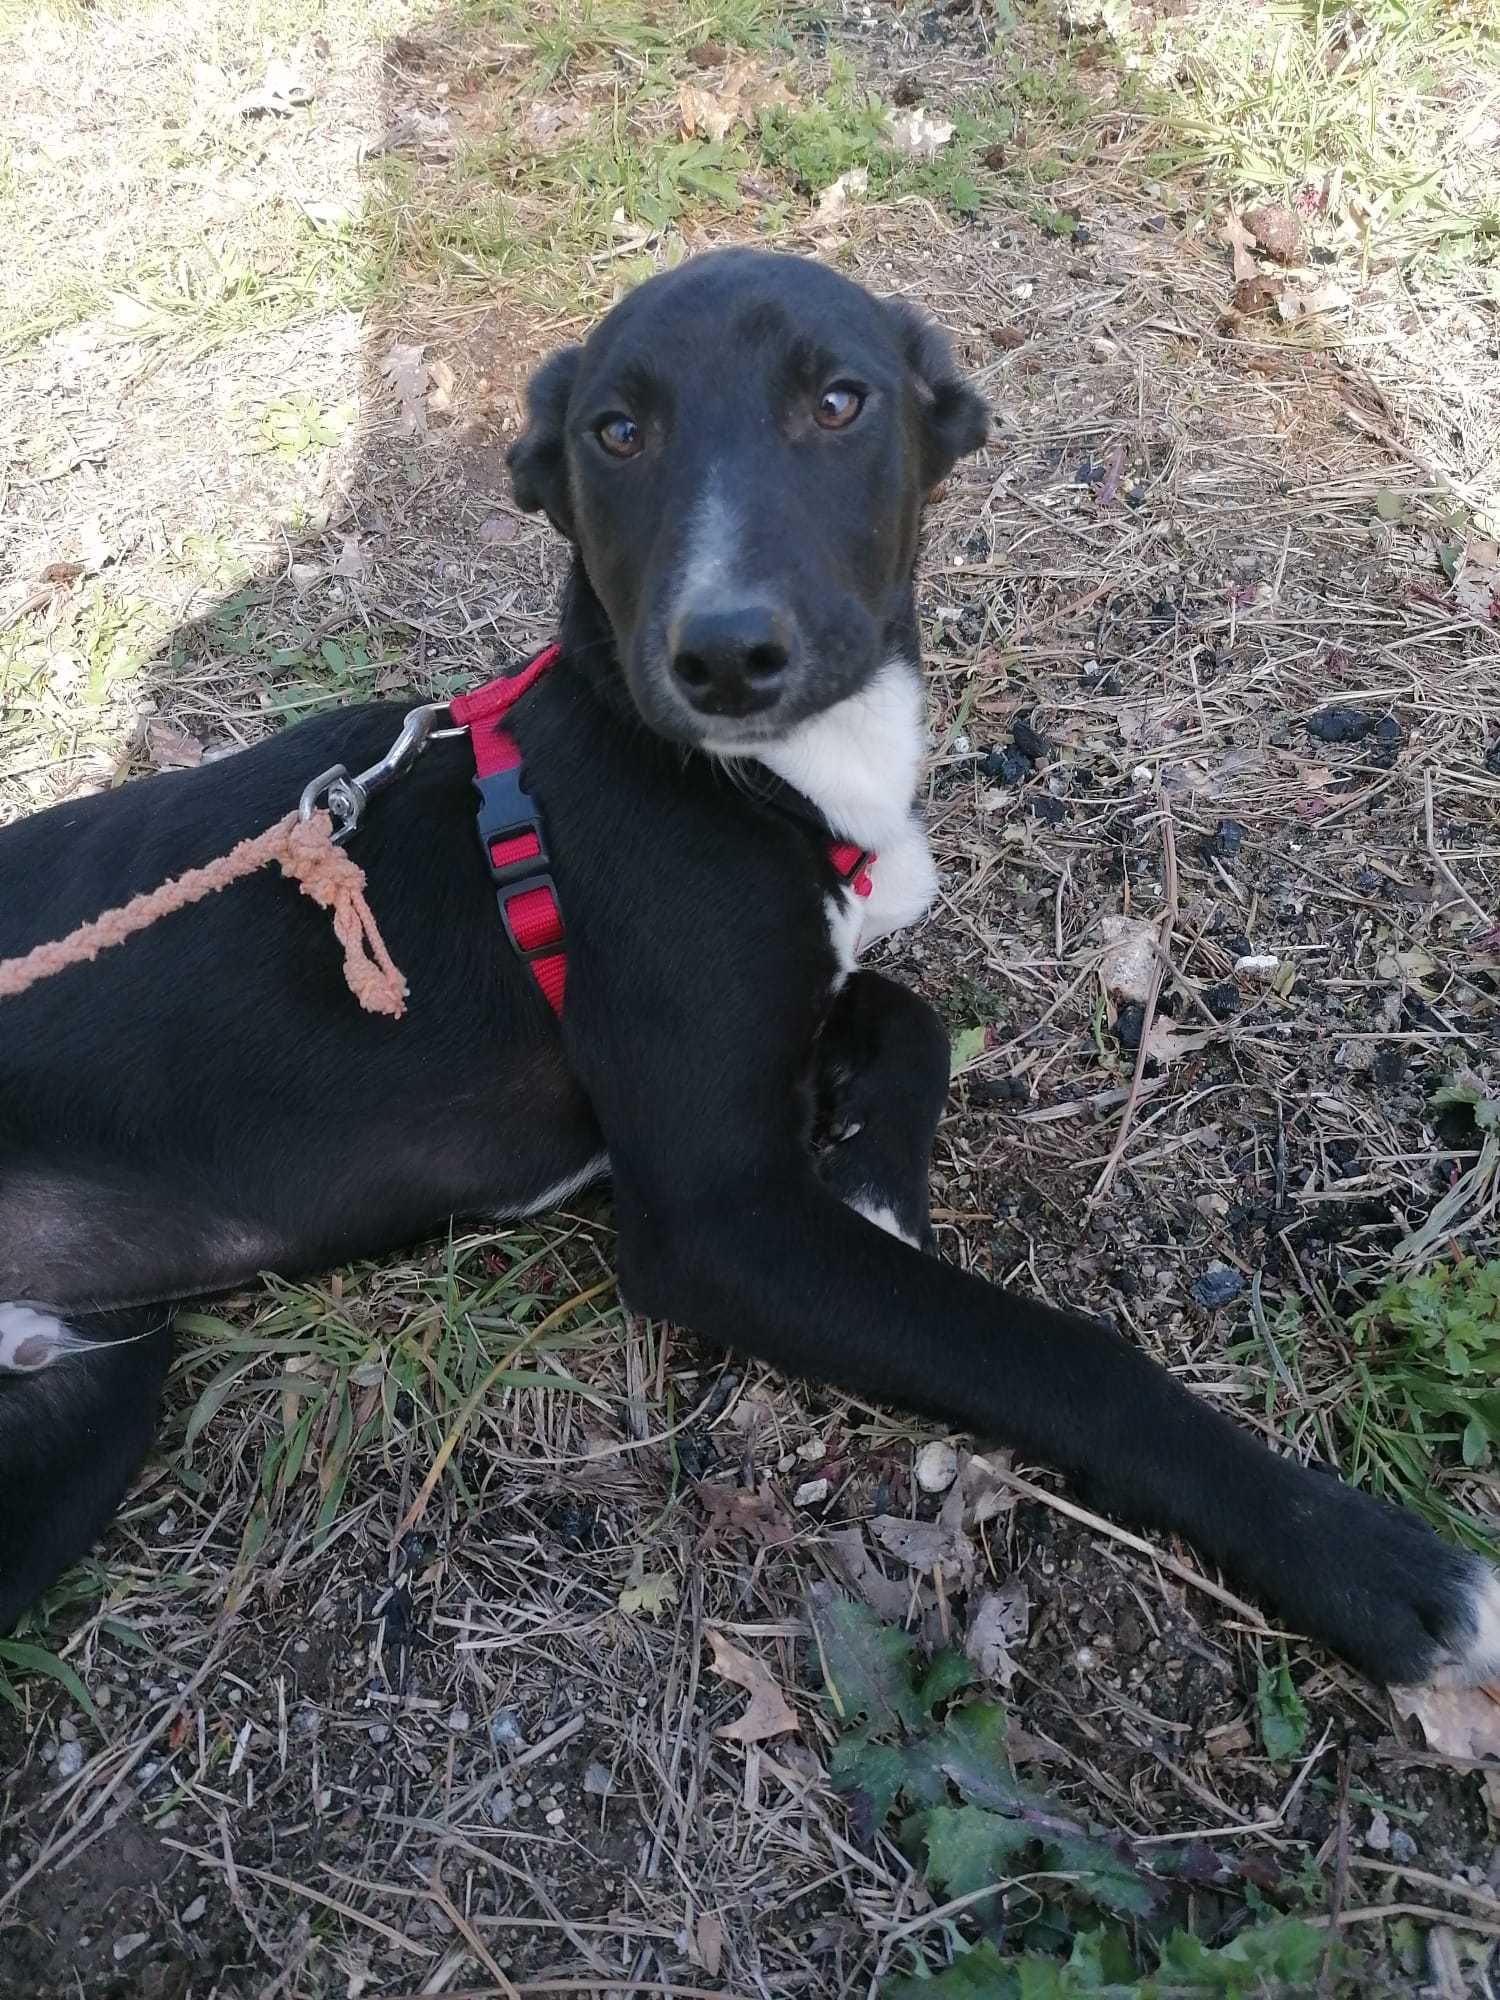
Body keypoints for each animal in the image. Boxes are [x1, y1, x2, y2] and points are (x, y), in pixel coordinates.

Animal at [2, 246, 1500, 1688]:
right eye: (614, 432)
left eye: (840, 401)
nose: (726, 654)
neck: (757, 784)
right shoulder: (719, 1219)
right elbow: (1061, 1352)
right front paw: (1370, 1565)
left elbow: (909, 1008)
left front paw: (874, 1173)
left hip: (94, 1395)